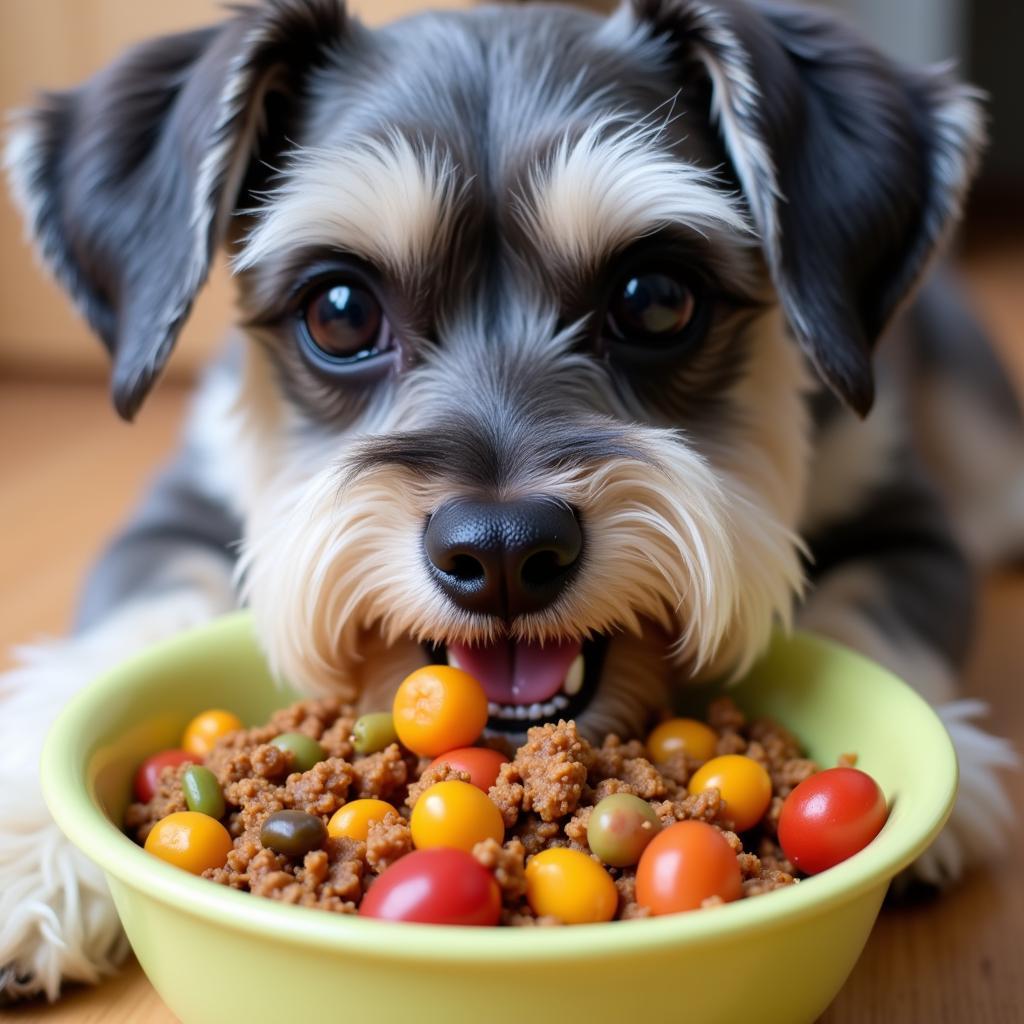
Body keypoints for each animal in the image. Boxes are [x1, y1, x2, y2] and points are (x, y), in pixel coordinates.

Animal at [2, 0, 1024, 1003]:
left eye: (657, 298)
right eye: (338, 310)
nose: (501, 552)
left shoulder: (908, 523)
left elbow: (867, 615)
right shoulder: (175, 512)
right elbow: (144, 610)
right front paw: (29, 852)